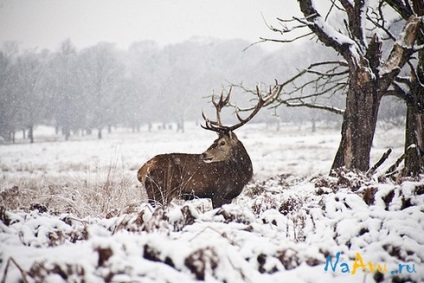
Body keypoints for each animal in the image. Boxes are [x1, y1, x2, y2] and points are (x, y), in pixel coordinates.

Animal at [137, 84, 280, 209]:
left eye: (222, 142)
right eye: (215, 140)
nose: (204, 154)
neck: (241, 175)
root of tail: (142, 171)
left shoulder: (227, 197)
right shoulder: (218, 193)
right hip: (160, 191)